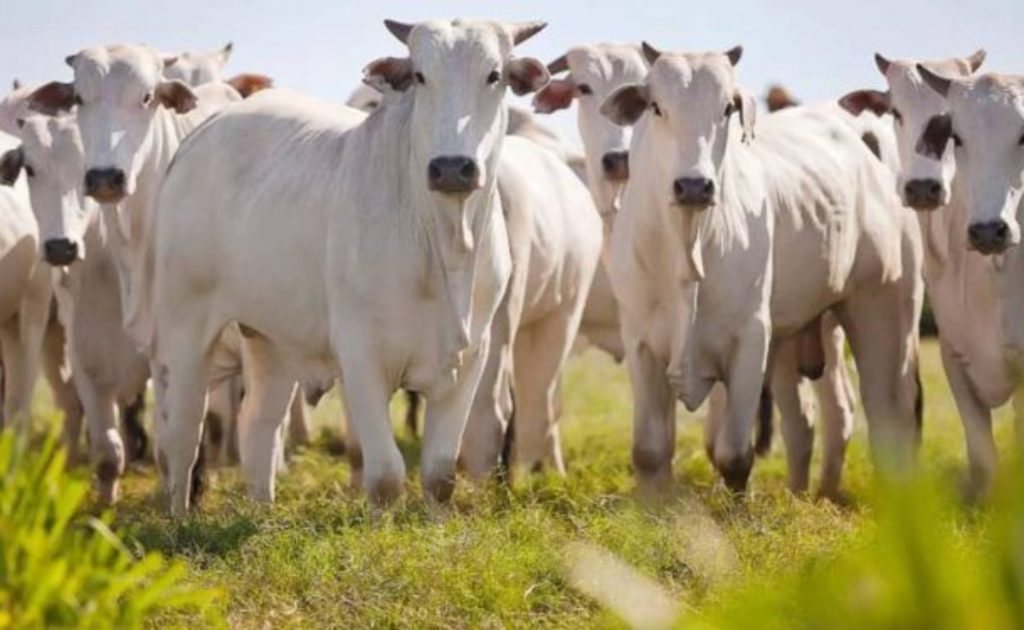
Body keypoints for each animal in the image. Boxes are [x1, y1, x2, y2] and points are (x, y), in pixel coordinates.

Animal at [144, 19, 552, 514]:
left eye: (494, 75)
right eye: (420, 76)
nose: (452, 168)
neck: (444, 242)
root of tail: (203, 134)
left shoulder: (471, 356)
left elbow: (439, 476)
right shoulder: (360, 355)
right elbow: (386, 477)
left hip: (270, 337)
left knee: (258, 424)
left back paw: (263, 511)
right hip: (184, 326)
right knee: (182, 435)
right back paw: (179, 516)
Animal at [602, 46, 925, 495]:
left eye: (726, 108)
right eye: (656, 107)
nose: (694, 186)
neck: (687, 247)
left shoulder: (751, 338)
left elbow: (734, 456)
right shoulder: (641, 342)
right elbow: (650, 453)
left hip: (883, 312)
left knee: (887, 417)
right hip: (804, 332)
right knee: (813, 418)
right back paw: (810, 493)